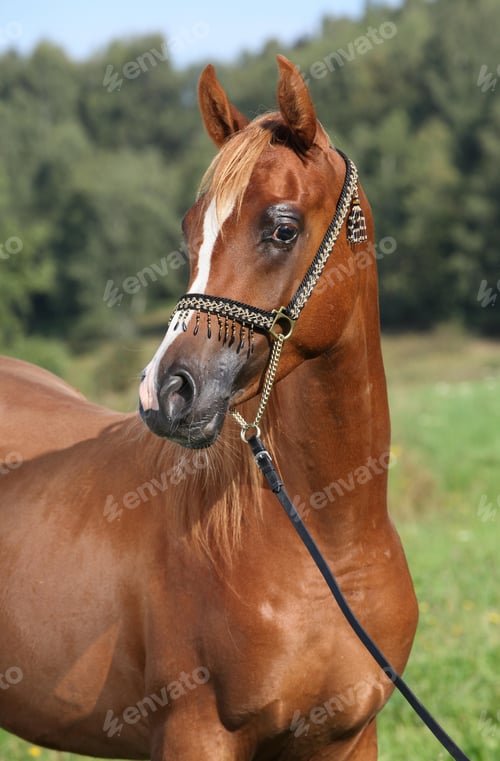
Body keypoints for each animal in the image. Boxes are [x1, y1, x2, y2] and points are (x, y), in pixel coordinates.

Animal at [0, 55, 418, 760]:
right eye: (189, 232)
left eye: (282, 227)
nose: (164, 392)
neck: (327, 546)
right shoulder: (198, 736)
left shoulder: (351, 738)